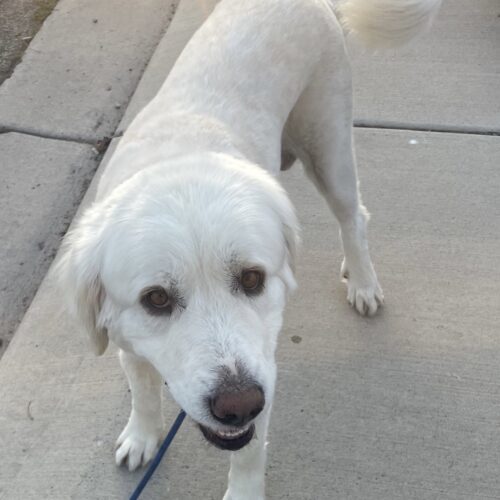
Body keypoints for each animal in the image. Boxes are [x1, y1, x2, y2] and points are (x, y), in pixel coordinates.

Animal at [57, 1, 442, 498]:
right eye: (155, 299)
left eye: (252, 278)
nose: (239, 405)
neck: (176, 159)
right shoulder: (129, 340)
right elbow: (143, 392)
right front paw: (142, 436)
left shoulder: (263, 372)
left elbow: (249, 451)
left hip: (329, 149)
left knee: (354, 216)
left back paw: (362, 281)